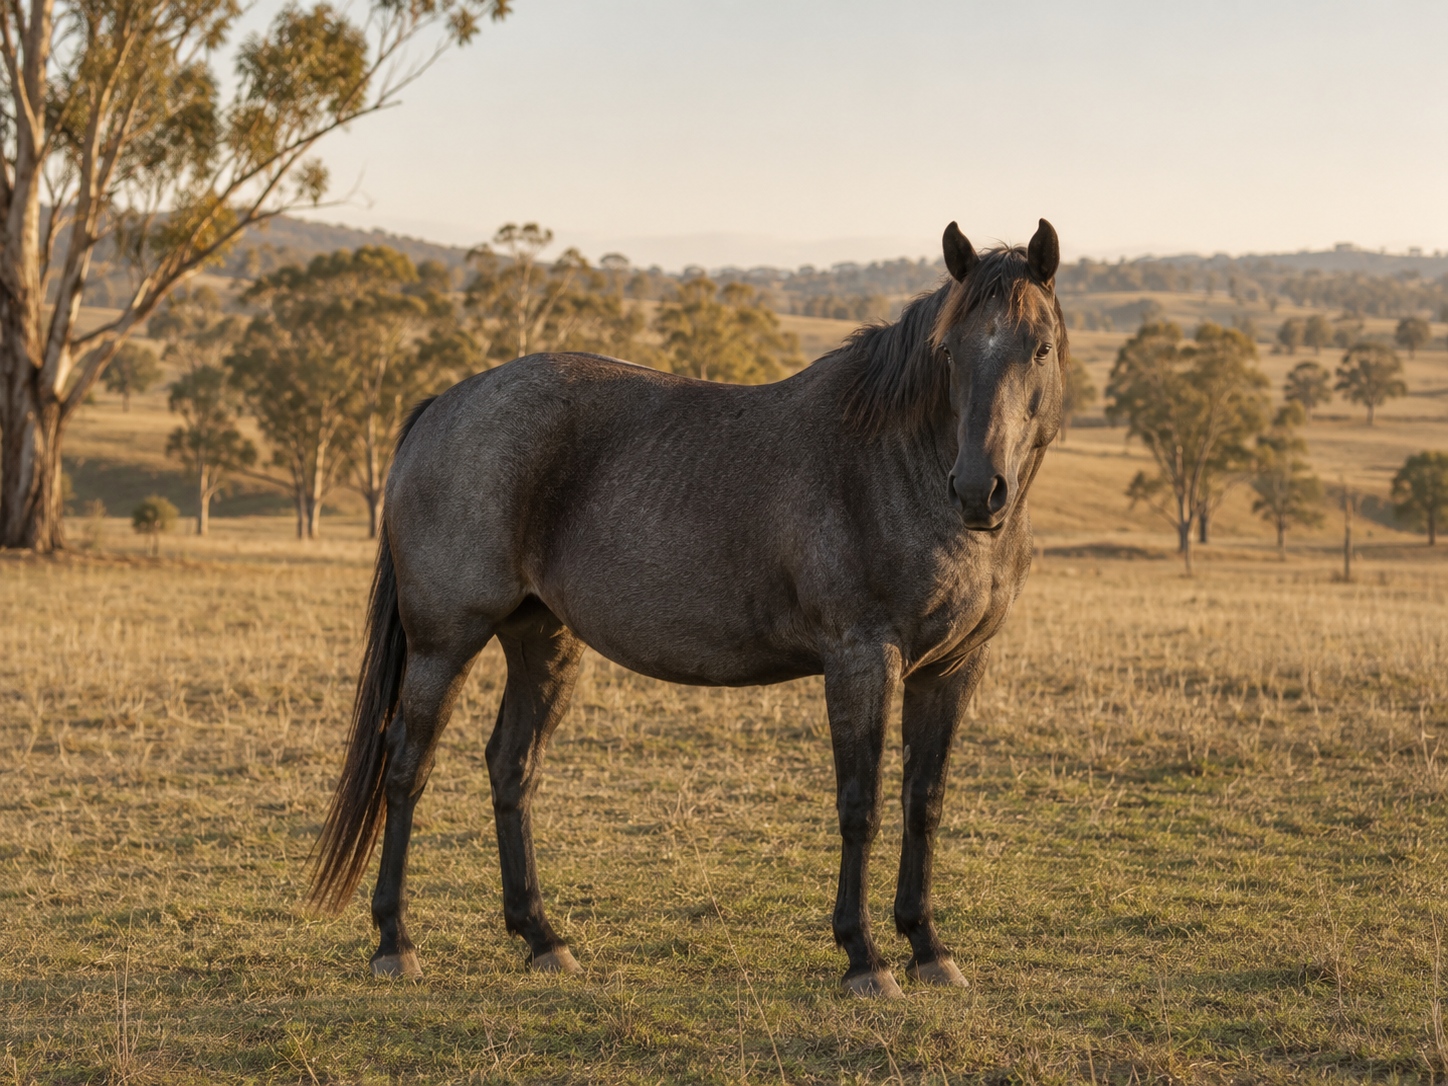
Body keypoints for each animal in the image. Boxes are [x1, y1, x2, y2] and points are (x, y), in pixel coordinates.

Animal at [310, 219, 1069, 997]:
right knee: (407, 765)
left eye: (1039, 347)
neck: (898, 465)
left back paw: (542, 937)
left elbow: (925, 802)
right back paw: (395, 941)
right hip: (445, 642)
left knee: (511, 766)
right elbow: (862, 803)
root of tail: (444, 403)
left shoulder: (952, 668)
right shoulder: (862, 659)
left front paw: (927, 946)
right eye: (949, 352)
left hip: (542, 640)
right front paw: (864, 956)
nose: (978, 490)